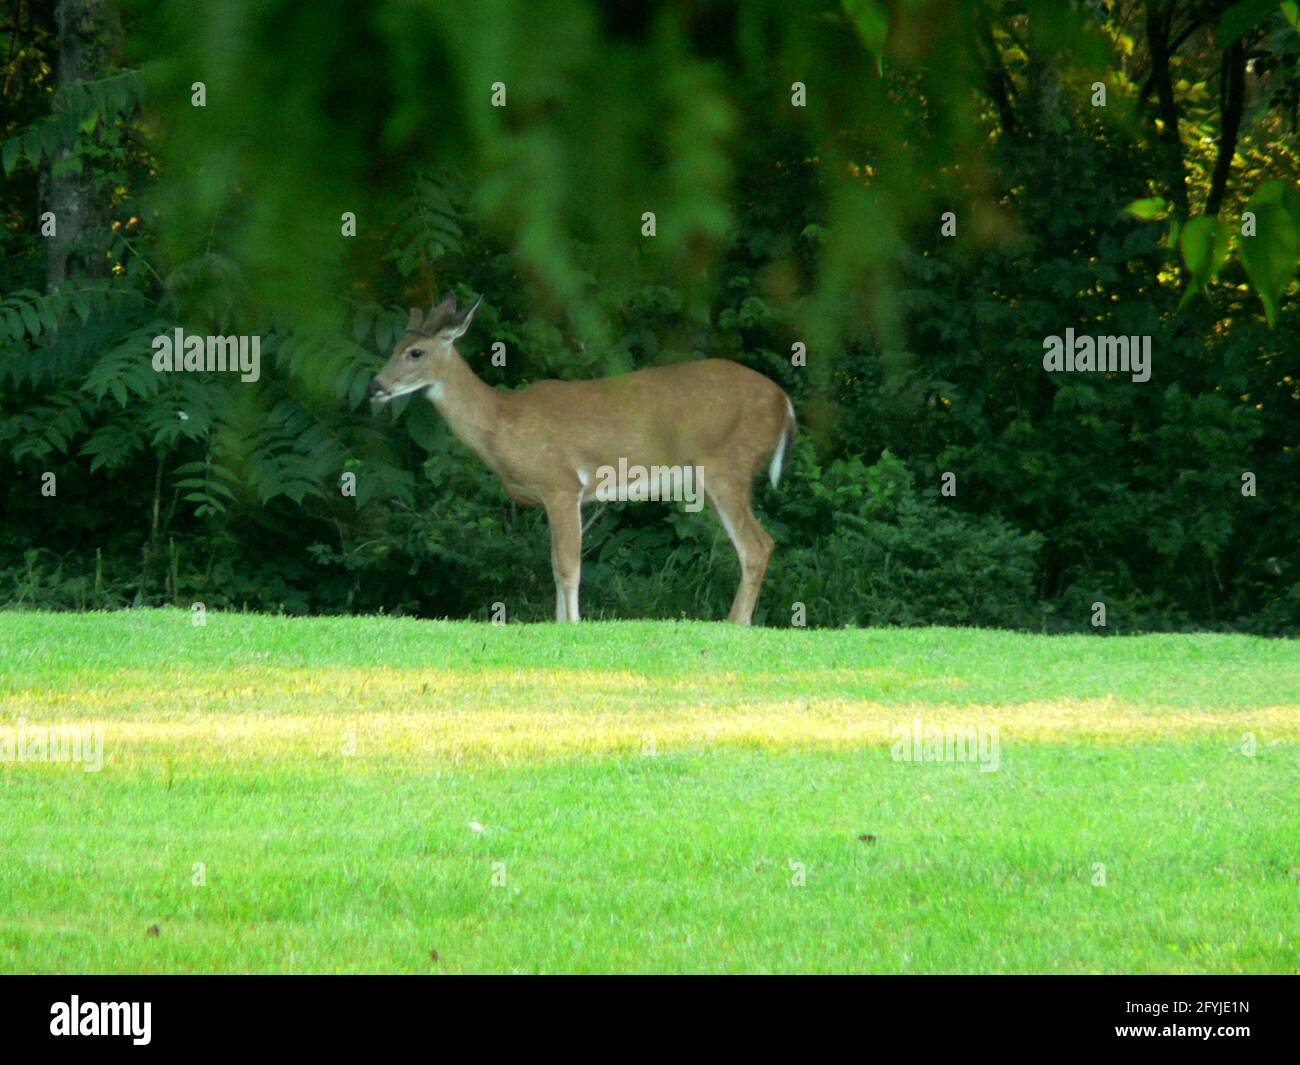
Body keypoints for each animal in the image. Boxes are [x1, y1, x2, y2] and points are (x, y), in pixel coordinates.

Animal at [367, 292, 797, 624]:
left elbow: (568, 565)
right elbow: (555, 566)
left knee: (758, 545)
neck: (501, 421)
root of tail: (785, 403)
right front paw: (560, 622)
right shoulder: (548, 496)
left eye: (415, 352)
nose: (375, 386)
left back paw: (735, 622)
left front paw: (573, 623)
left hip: (727, 466)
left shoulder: (561, 483)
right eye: (393, 349)